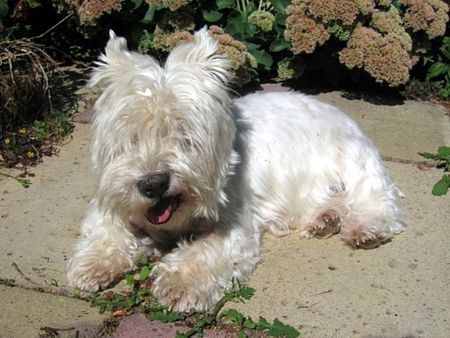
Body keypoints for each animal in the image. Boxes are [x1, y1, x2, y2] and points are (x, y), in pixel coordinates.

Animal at [67, 27, 404, 312]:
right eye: (130, 136)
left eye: (184, 133)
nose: (153, 184)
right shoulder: (114, 198)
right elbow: (108, 230)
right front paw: (91, 265)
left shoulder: (233, 222)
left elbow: (205, 249)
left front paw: (179, 283)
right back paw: (324, 220)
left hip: (356, 163)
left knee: (375, 201)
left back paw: (364, 230)